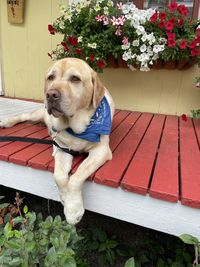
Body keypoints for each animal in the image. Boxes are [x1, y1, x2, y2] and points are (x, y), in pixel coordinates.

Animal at [0, 58, 114, 224]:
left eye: (75, 79)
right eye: (51, 77)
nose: (50, 94)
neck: (76, 127)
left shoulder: (101, 151)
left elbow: (76, 176)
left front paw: (72, 209)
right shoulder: (61, 148)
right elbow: (59, 176)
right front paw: (66, 200)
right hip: (39, 114)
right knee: (23, 116)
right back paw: (6, 122)